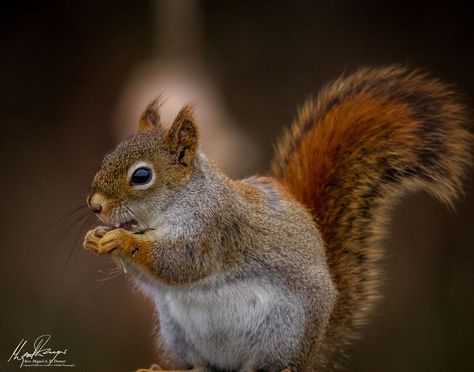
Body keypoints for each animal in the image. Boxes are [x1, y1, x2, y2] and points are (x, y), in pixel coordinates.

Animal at [83, 65, 472, 370]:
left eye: (141, 176)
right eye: (107, 157)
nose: (95, 206)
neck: (170, 208)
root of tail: (312, 352)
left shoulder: (214, 228)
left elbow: (180, 263)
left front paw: (121, 240)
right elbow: (155, 280)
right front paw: (95, 238)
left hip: (282, 331)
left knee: (269, 365)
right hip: (177, 332)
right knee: (202, 365)